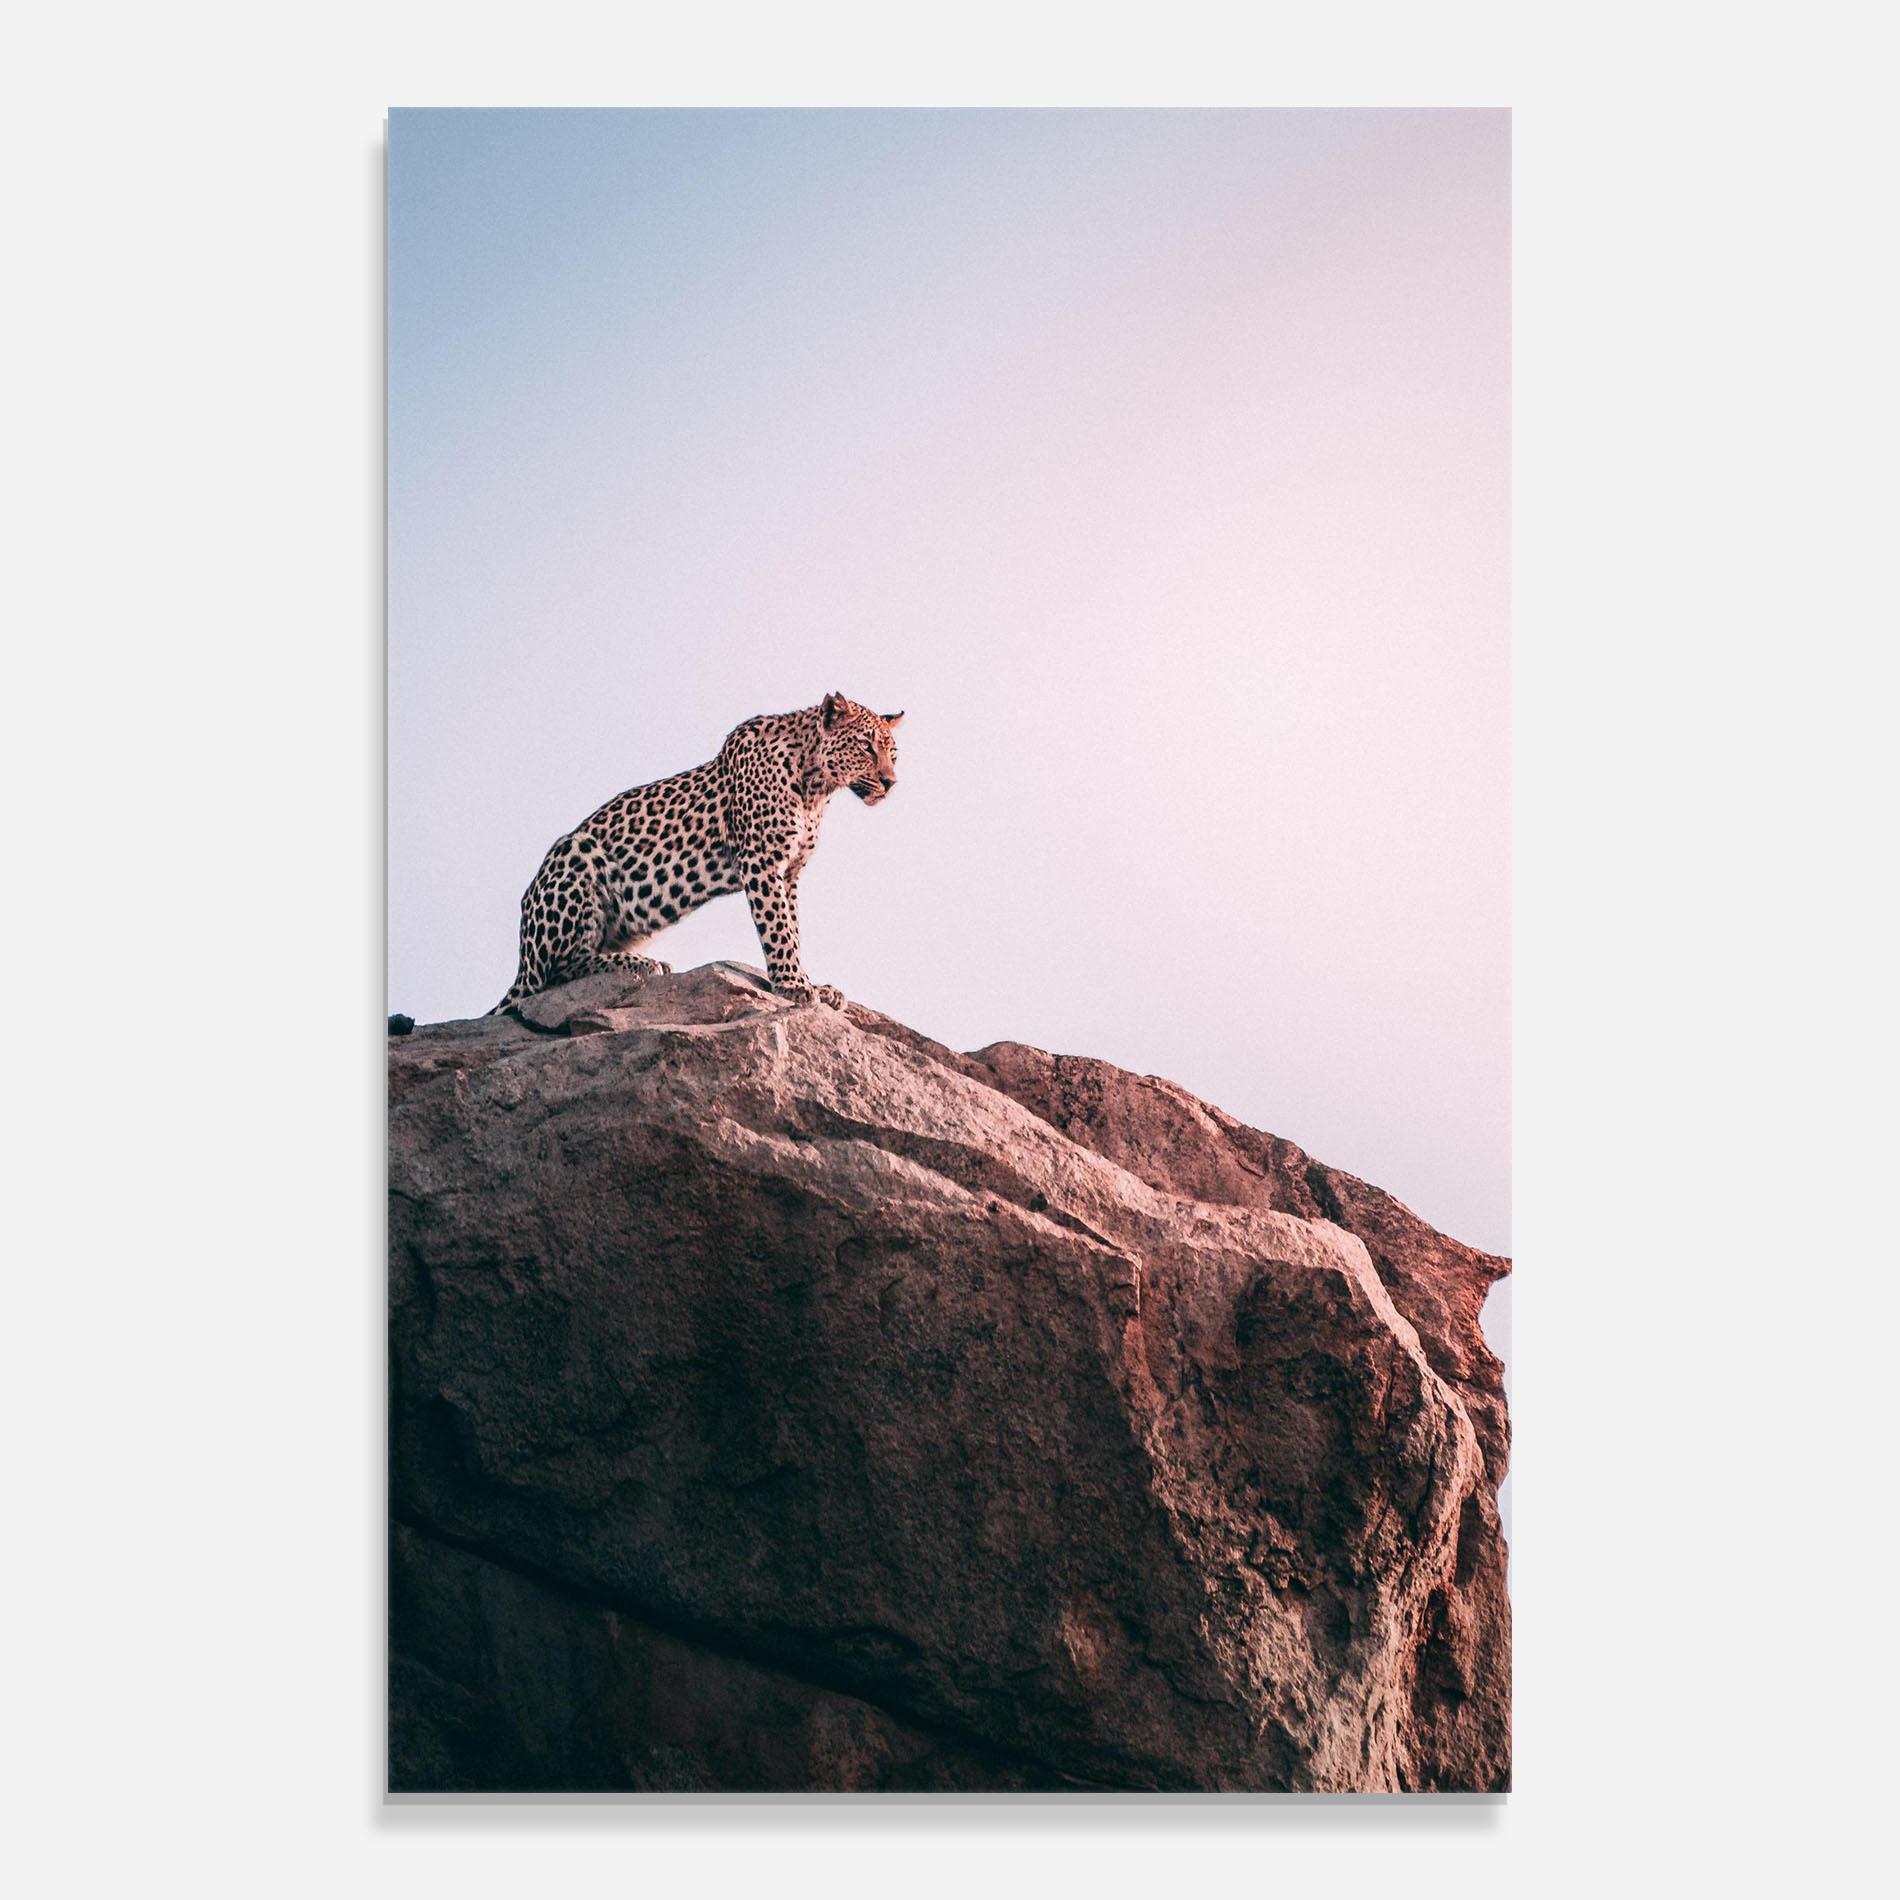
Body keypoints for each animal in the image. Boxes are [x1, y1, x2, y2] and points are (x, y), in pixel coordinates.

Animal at [491, 692, 903, 1016]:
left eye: (893, 754)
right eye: (866, 746)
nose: (890, 782)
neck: (816, 786)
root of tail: (521, 961)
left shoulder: (790, 872)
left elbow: (793, 928)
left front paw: (811, 984)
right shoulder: (762, 860)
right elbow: (778, 928)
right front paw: (793, 985)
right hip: (575, 852)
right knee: (555, 973)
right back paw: (641, 964)